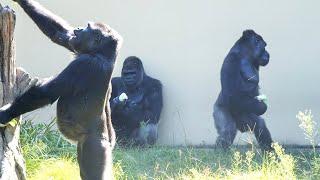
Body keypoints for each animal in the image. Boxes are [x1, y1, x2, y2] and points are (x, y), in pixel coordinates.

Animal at [0, 0, 122, 179]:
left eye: (87, 27)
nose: (78, 29)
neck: (103, 54)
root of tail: (108, 141)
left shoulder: (84, 64)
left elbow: (46, 92)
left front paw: (4, 114)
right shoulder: (77, 46)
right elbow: (61, 33)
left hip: (95, 148)